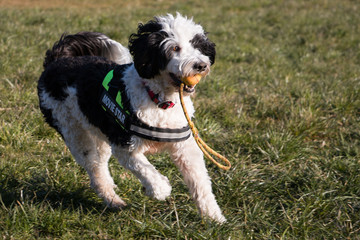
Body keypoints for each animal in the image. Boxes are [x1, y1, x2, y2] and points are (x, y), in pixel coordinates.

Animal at [38, 13, 225, 223]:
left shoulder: (185, 148)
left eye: (197, 45)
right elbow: (146, 170)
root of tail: (56, 61)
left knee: (100, 167)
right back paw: (113, 201)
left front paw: (214, 217)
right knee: (94, 169)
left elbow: (200, 182)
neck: (159, 99)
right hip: (74, 132)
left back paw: (113, 198)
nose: (201, 65)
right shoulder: (125, 146)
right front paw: (160, 189)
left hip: (99, 135)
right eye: (174, 48)